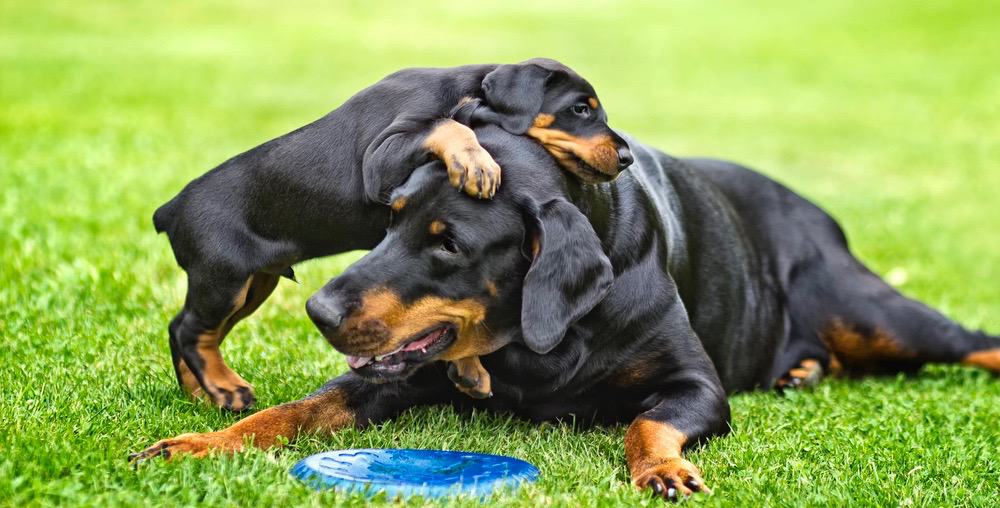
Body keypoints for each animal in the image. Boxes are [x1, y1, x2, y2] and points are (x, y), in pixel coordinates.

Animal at [135, 127, 1000, 500]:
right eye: (391, 218)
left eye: (448, 244)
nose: (318, 307)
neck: (538, 338)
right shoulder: (389, 376)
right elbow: (297, 410)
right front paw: (198, 442)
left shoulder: (697, 387)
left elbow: (647, 419)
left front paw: (663, 467)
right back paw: (804, 370)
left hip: (869, 309)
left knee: (964, 338)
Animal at [150, 58, 632, 408]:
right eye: (580, 108)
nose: (627, 155)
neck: (466, 92)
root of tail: (169, 210)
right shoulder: (382, 155)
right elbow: (445, 125)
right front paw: (475, 163)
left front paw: (470, 370)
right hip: (224, 278)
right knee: (190, 330)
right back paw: (224, 387)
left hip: (253, 284)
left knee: (187, 329)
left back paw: (202, 393)